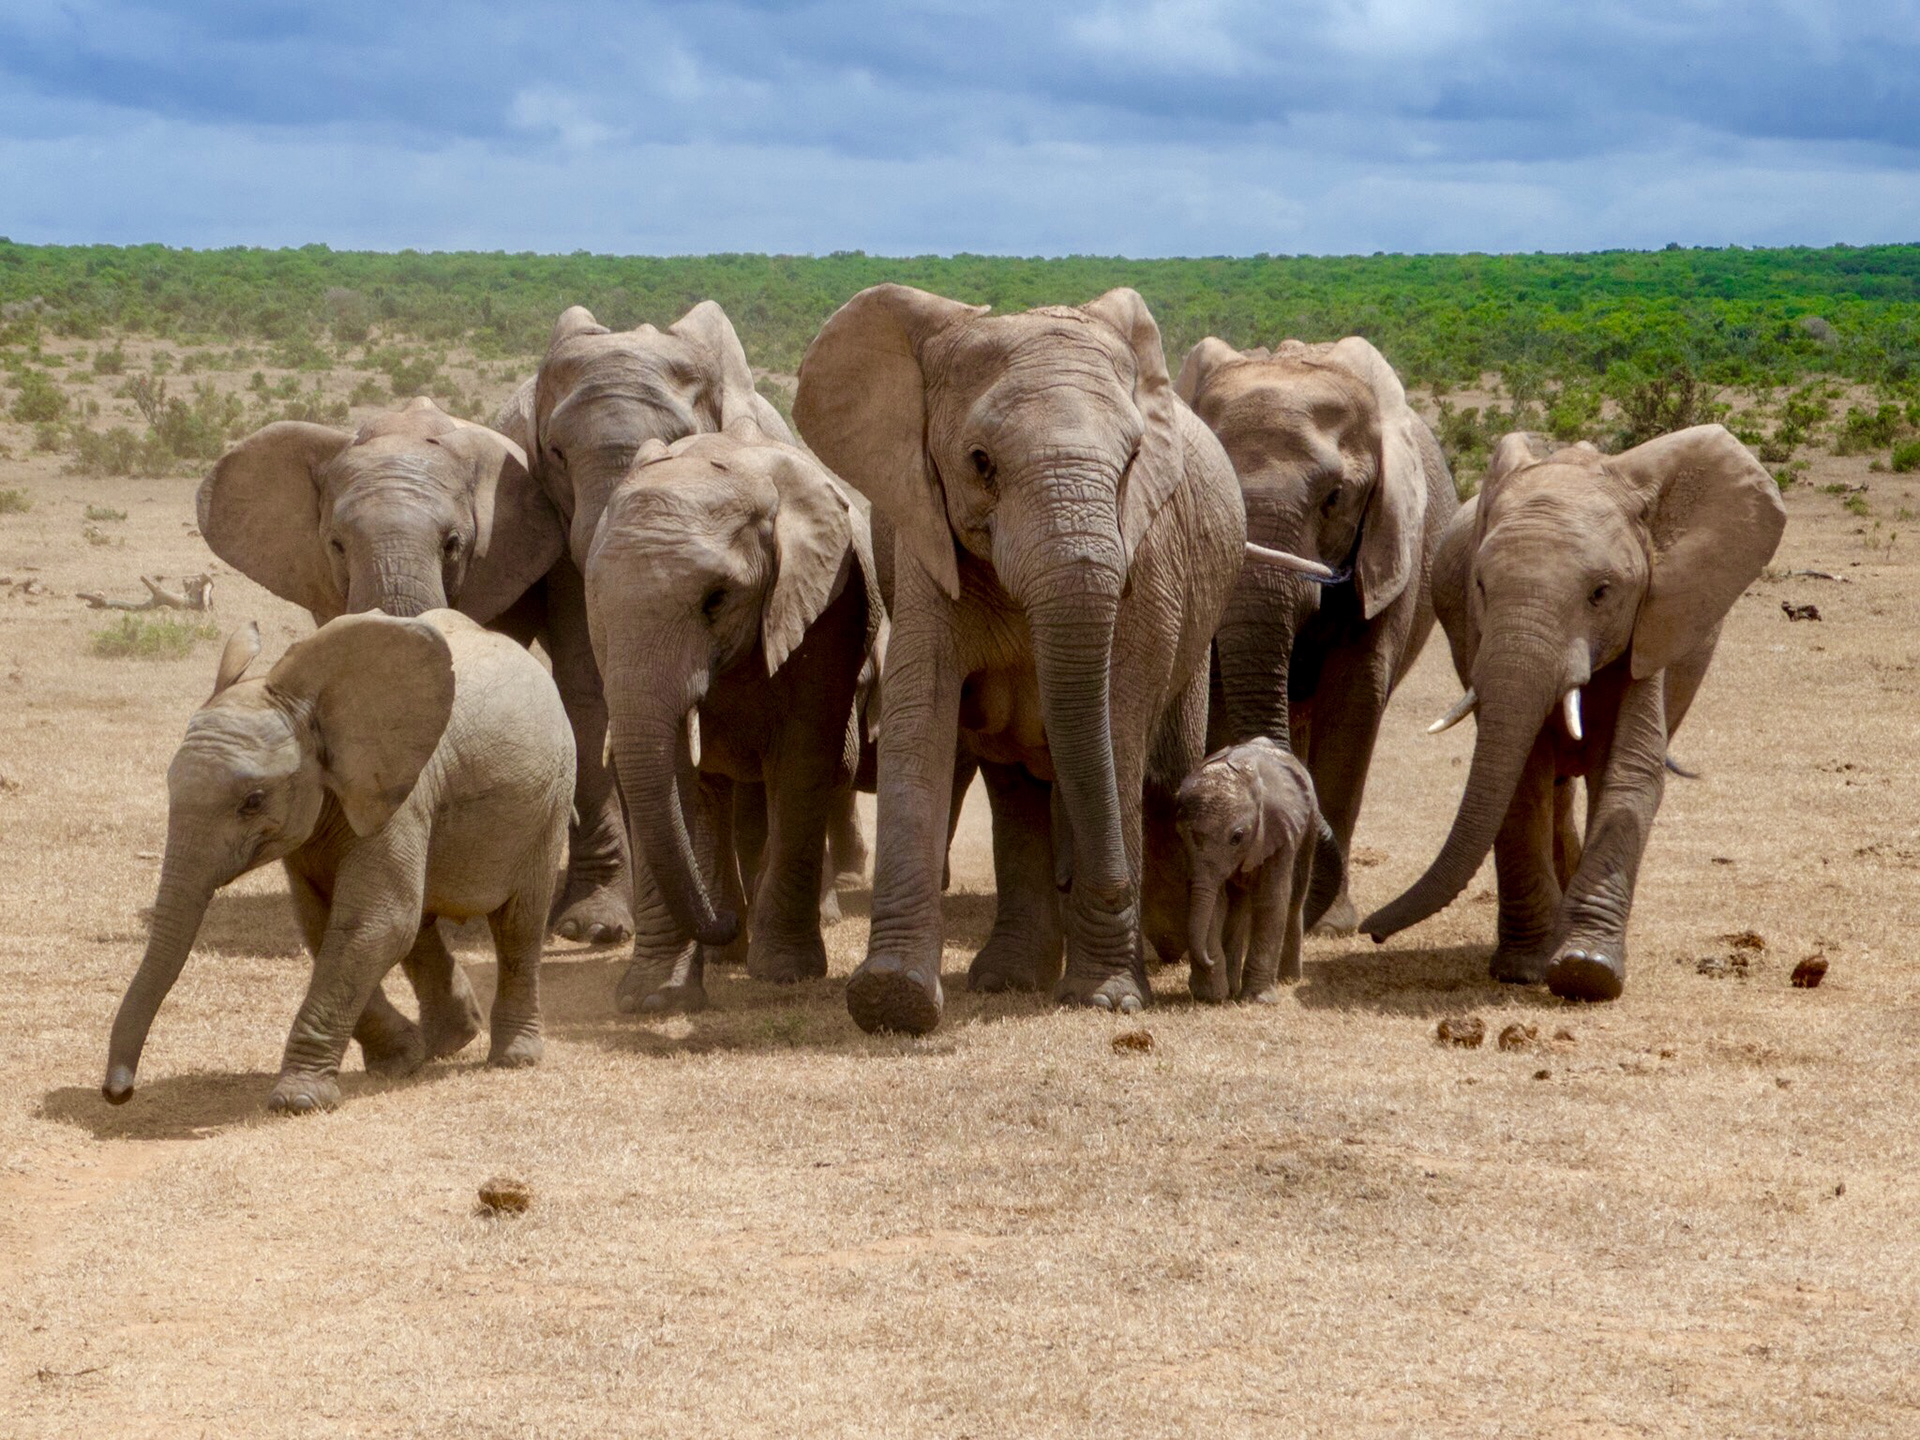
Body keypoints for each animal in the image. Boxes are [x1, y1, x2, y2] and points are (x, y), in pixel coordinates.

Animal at [102, 609, 574, 1113]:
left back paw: (514, 1058)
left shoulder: (404, 797)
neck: (309, 708)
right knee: (423, 927)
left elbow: (373, 925)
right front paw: (399, 1061)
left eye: (253, 801)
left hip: (552, 797)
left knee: (518, 923)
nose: (118, 1093)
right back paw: (450, 1041)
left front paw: (298, 1101)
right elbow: (325, 925)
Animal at [585, 427, 882, 1015]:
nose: (718, 922)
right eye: (595, 600)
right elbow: (676, 777)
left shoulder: (827, 604)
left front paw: (786, 973)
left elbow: (802, 763)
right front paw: (654, 998)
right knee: (713, 795)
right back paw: (726, 949)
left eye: (716, 599)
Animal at [795, 283, 1299, 1034]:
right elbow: (923, 714)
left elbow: (1116, 725)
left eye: (1131, 459)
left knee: (1155, 758)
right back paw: (1009, 978)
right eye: (980, 462)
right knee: (1017, 788)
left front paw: (1108, 998)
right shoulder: (923, 540)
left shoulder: (1148, 557)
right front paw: (893, 999)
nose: (1109, 888)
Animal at [1176, 738, 1345, 1003]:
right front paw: (1211, 995)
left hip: (1308, 826)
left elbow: (1271, 900)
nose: (1208, 960)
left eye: (1237, 838)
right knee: (1237, 907)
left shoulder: (1277, 828)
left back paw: (1289, 979)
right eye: (1179, 835)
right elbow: (1215, 902)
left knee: (1295, 899)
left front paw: (1259, 999)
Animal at [1362, 425, 1786, 1001]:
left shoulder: (1651, 625)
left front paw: (1587, 970)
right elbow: (1521, 779)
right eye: (1480, 586)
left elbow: (1631, 772)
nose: (1370, 931)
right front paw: (1524, 969)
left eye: (1601, 593)